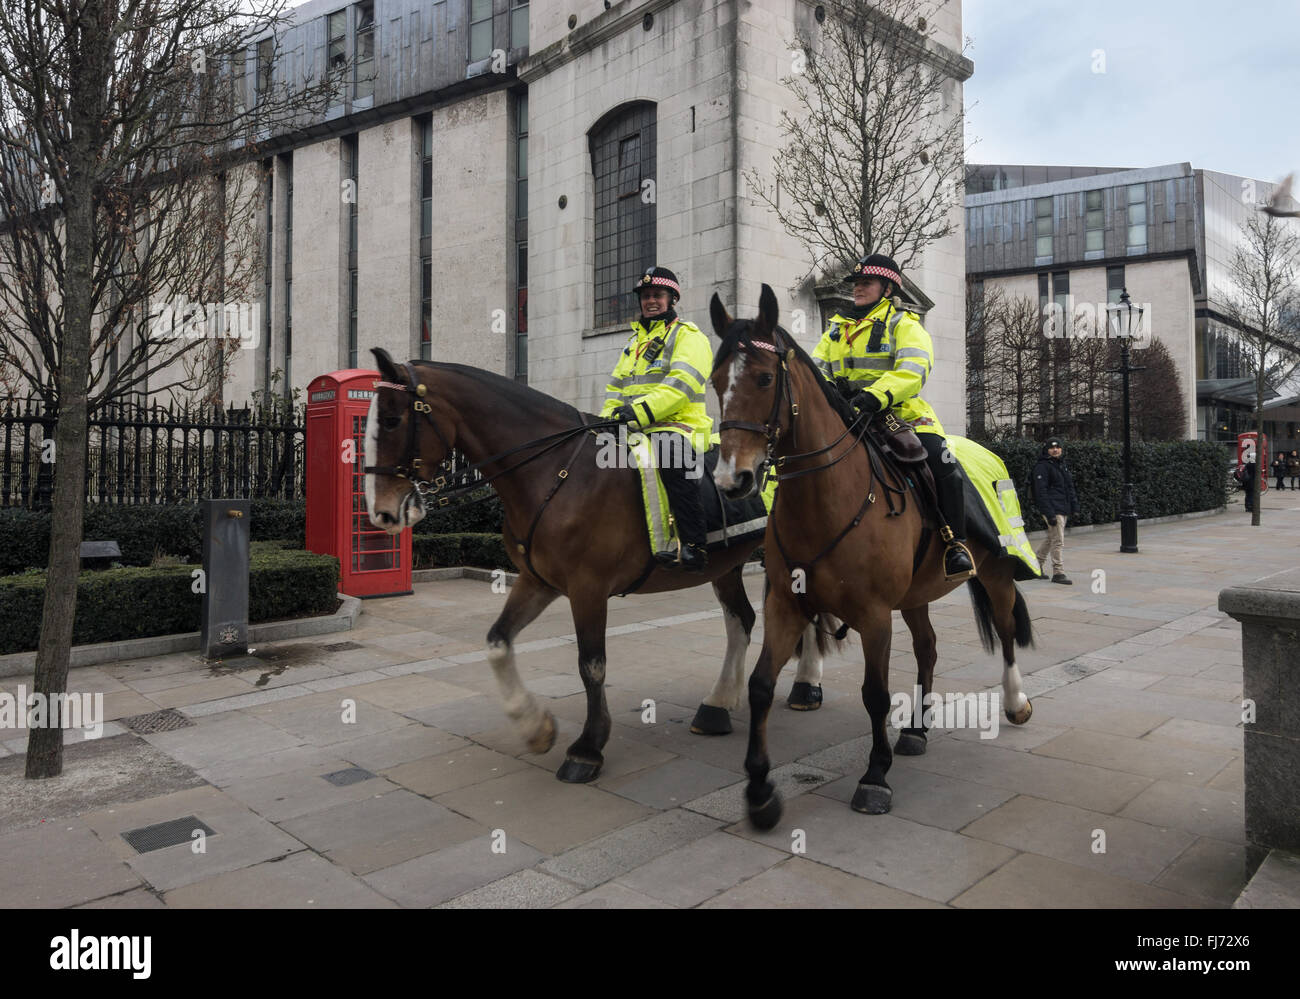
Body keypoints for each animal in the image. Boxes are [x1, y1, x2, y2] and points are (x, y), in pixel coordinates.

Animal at [364, 348, 832, 780]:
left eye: (390, 420)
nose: (382, 513)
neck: (557, 471)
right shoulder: (537, 581)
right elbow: (498, 641)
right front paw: (536, 727)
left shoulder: (588, 588)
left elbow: (591, 665)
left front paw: (587, 748)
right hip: (727, 566)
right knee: (743, 620)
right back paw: (717, 706)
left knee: (800, 618)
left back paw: (806, 687)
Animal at [707, 286, 1029, 827]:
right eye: (714, 382)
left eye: (765, 378)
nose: (733, 480)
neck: (829, 495)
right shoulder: (786, 605)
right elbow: (760, 684)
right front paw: (759, 789)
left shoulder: (875, 615)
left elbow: (874, 695)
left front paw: (875, 776)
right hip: (916, 595)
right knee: (928, 648)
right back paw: (917, 729)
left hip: (997, 575)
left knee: (1005, 634)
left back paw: (1016, 701)